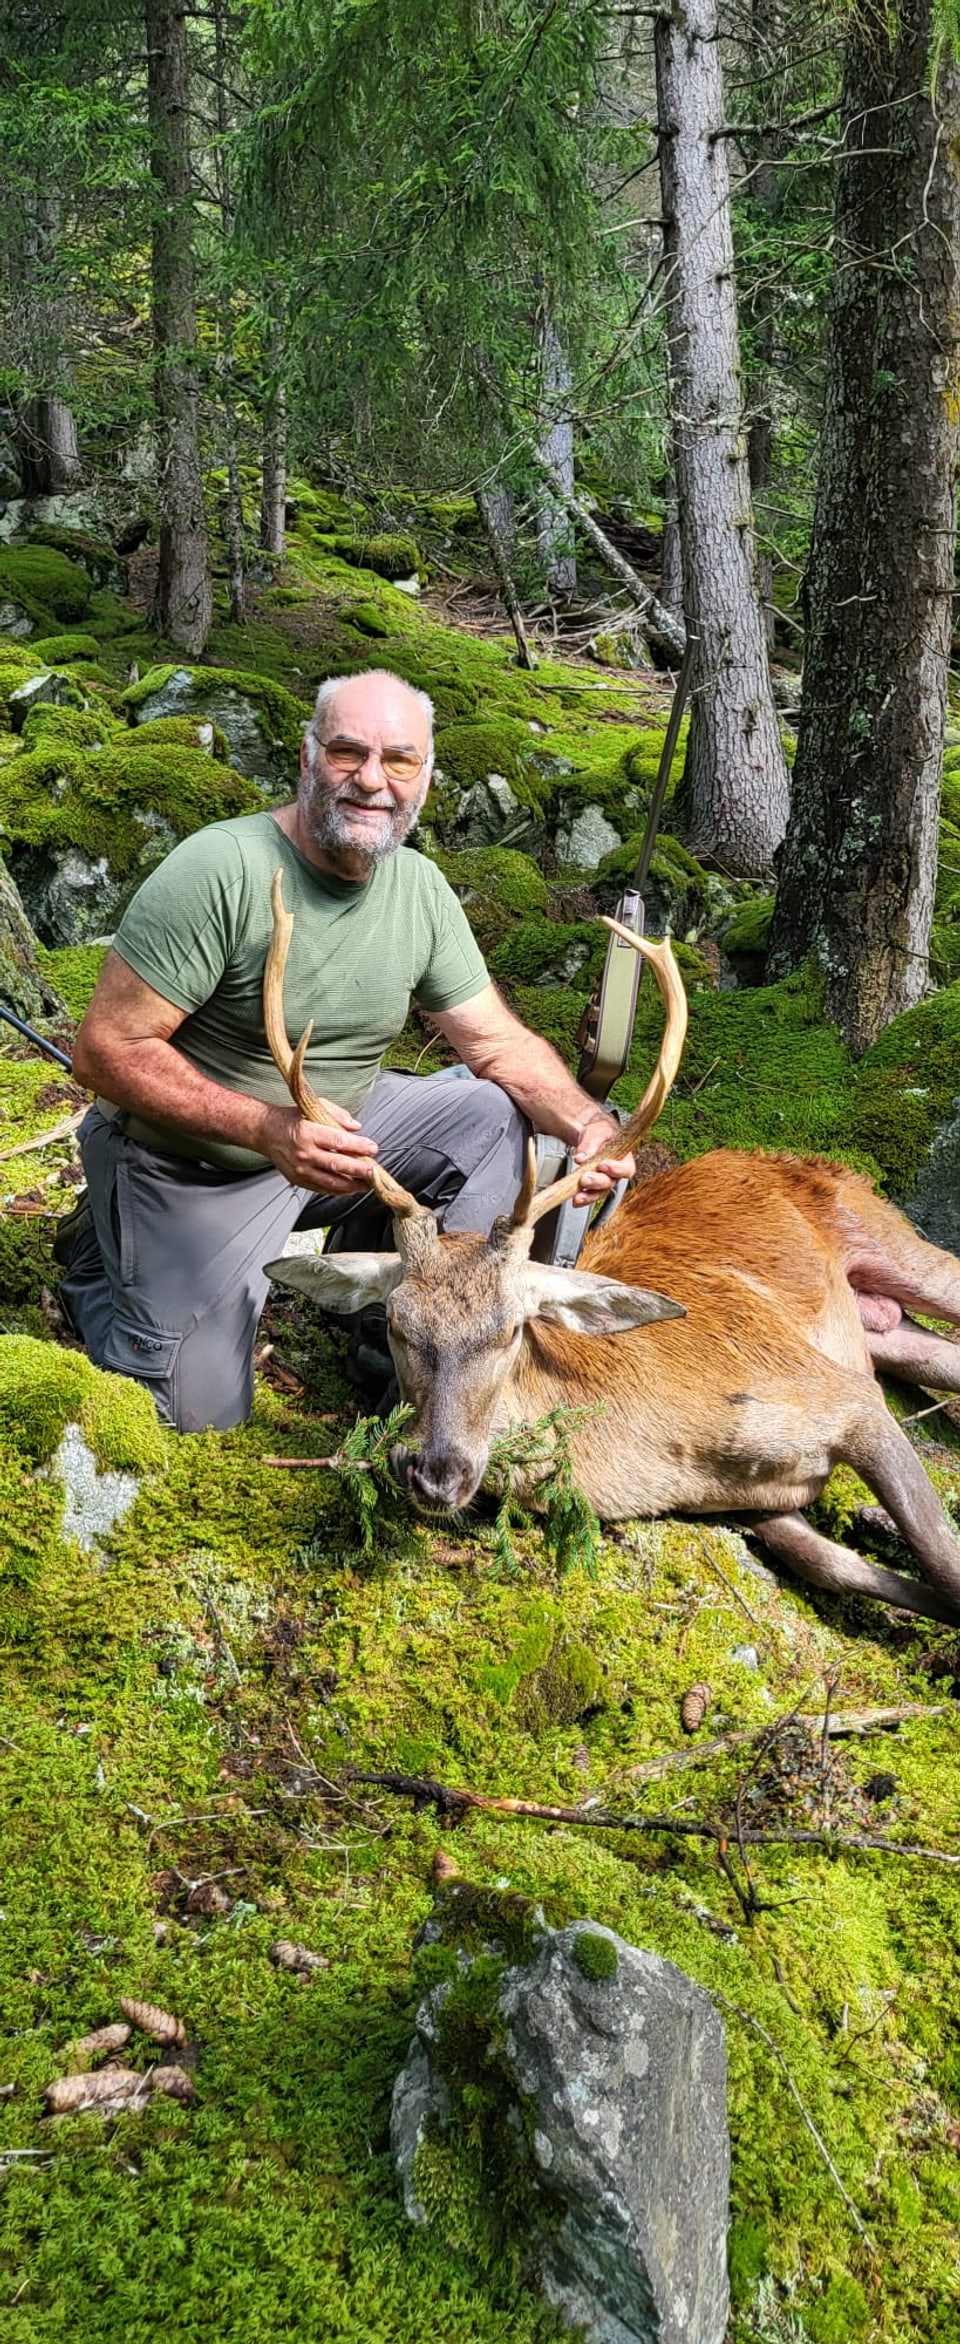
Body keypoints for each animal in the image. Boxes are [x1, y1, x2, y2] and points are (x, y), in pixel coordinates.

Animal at [264, 871, 960, 1622]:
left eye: (512, 1331)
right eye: (393, 1323)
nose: (434, 1472)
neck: (657, 1459)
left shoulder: (845, 1398)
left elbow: (946, 1565)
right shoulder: (760, 1499)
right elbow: (835, 1566)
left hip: (890, 1240)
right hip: (882, 1333)